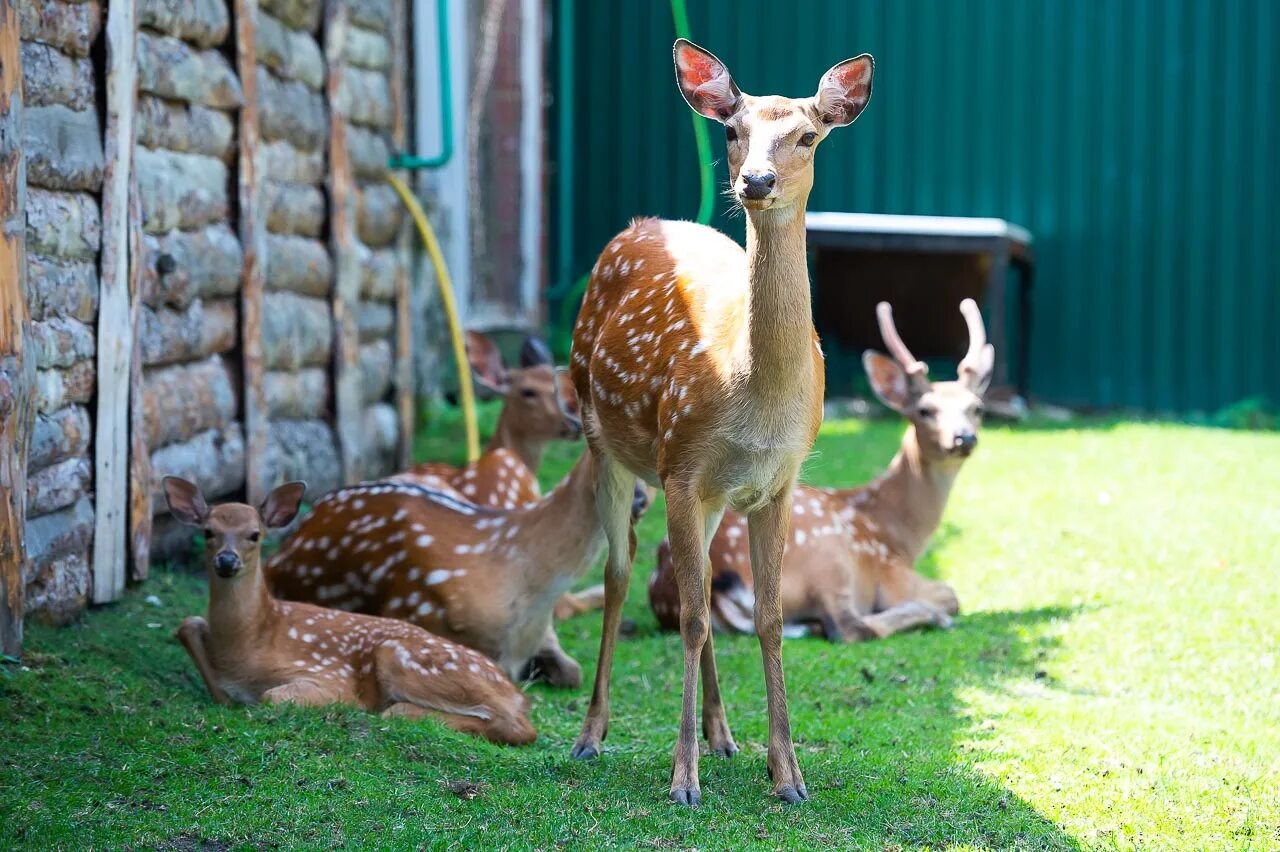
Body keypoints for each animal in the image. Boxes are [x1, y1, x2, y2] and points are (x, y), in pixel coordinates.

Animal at [163, 473, 535, 741]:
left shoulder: (331, 678)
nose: (227, 560)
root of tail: (517, 693)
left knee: (518, 726)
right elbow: (187, 624)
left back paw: (401, 711)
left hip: (401, 656)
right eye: (208, 531)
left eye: (254, 534)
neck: (249, 641)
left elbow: (272, 697)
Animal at [568, 39, 875, 803]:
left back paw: (723, 733)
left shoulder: (776, 483)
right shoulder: (680, 467)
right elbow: (691, 616)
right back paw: (592, 733)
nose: (756, 180)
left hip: (704, 492)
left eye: (808, 135)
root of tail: (639, 226)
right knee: (621, 574)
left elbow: (766, 618)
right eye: (731, 130)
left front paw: (787, 772)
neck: (751, 397)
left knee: (698, 584)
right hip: (599, 431)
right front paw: (683, 779)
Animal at [645, 298, 993, 637]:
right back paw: (931, 617)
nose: (963, 437)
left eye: (976, 408)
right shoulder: (889, 572)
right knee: (849, 627)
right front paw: (938, 611)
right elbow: (951, 594)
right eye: (924, 410)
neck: (895, 532)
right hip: (826, 560)